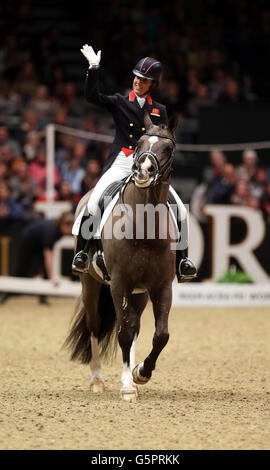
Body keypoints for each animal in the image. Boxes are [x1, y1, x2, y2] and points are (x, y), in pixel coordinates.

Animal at [65, 113, 178, 400]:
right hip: (90, 284)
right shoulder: (119, 284)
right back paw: (97, 380)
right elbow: (123, 331)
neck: (144, 227)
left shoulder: (161, 286)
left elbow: (161, 334)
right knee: (95, 325)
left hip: (139, 293)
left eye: (168, 148)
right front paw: (128, 387)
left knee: (135, 326)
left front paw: (140, 374)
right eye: (138, 143)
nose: (143, 171)